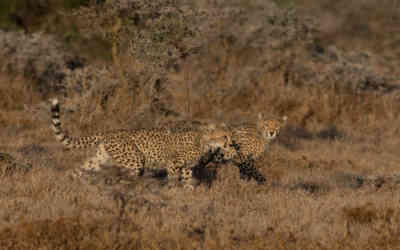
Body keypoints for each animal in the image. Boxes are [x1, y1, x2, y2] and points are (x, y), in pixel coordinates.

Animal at [50, 98, 231, 188]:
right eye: (223, 136)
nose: (230, 144)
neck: (204, 141)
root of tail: (109, 132)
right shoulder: (173, 164)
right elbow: (173, 181)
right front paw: (173, 194)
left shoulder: (187, 168)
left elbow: (187, 183)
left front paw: (188, 196)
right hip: (135, 160)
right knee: (124, 179)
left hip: (99, 160)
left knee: (76, 171)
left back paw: (64, 186)